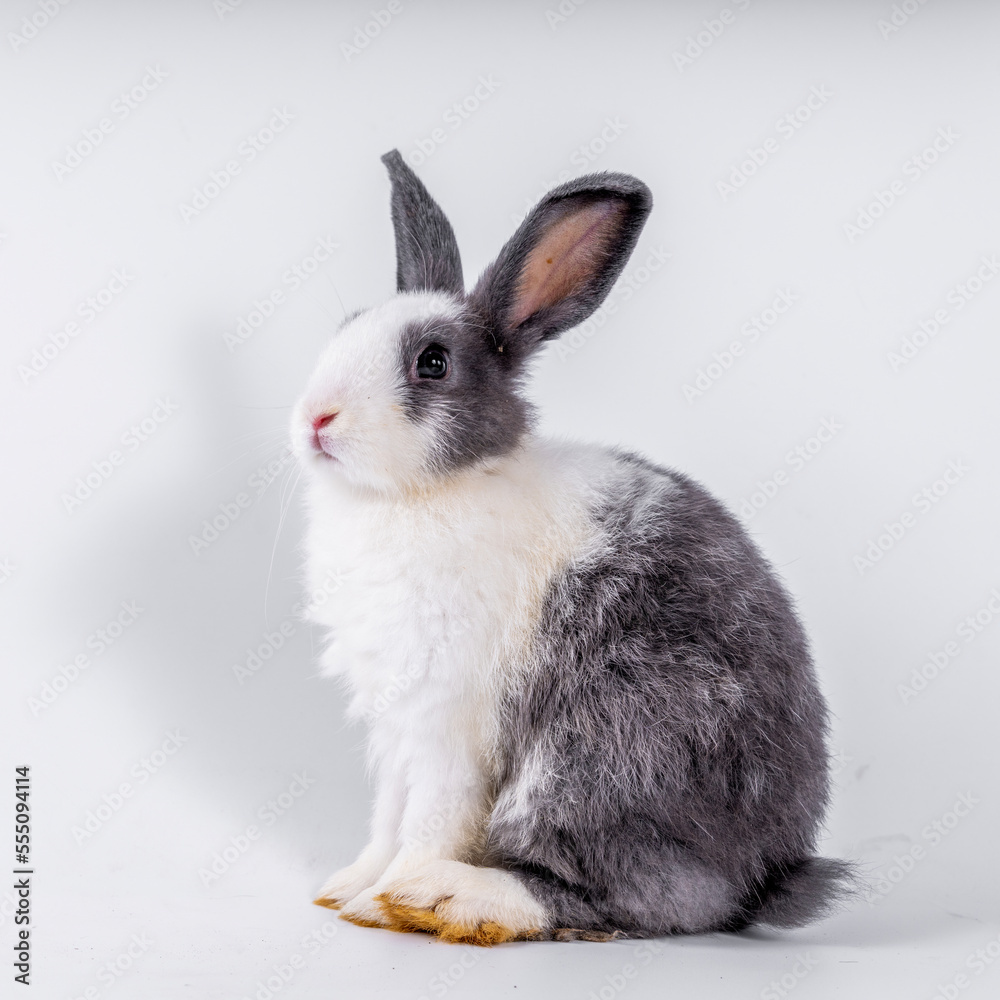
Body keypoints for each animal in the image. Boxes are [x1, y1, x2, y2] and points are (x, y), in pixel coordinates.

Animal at [292, 148, 860, 944]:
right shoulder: (397, 729)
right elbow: (387, 816)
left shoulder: (450, 725)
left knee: (640, 897)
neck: (427, 493)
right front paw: (347, 889)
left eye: (432, 363)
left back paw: (447, 898)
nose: (316, 418)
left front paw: (385, 896)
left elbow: (429, 818)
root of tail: (766, 875)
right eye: (347, 326)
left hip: (599, 750)